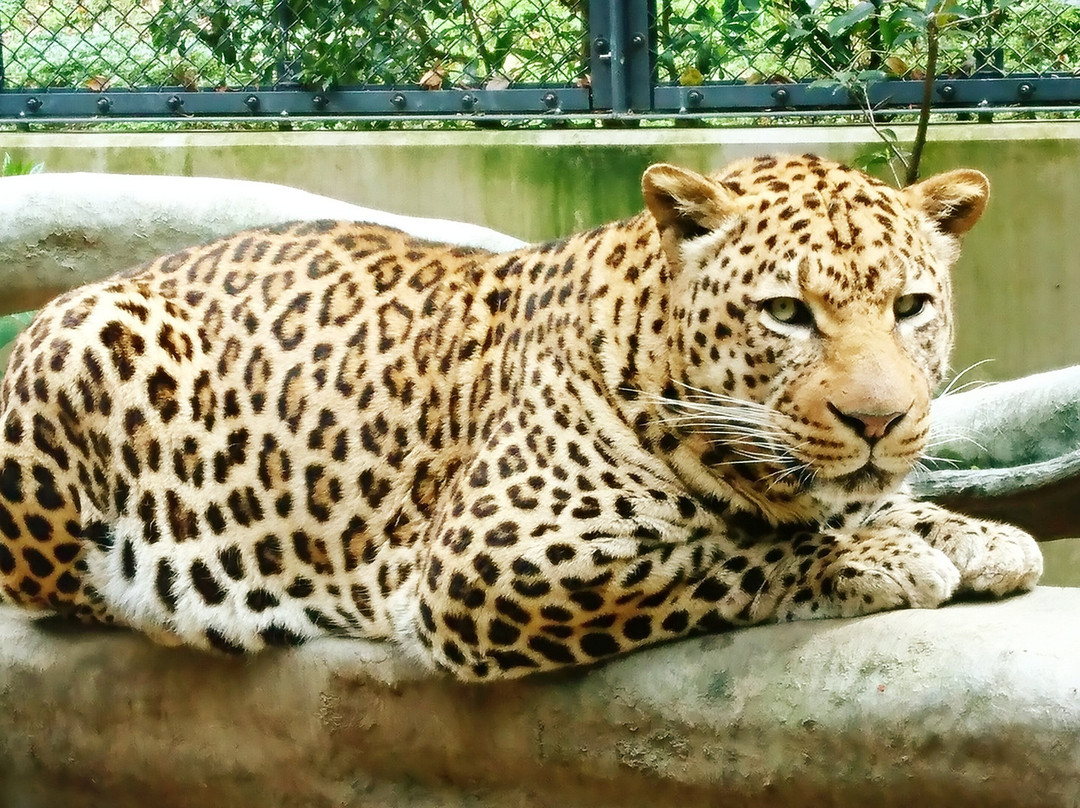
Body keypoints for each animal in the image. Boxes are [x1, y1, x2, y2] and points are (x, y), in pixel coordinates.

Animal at [0, 153, 1045, 682]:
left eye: (911, 306)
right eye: (787, 312)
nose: (880, 419)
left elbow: (868, 501)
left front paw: (972, 533)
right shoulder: (486, 556)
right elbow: (724, 550)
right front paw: (877, 555)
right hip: (80, 344)